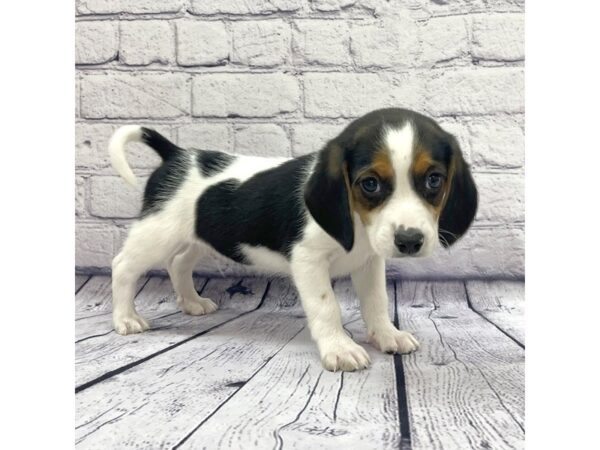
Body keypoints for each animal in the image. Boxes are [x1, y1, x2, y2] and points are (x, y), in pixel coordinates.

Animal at [109, 107, 478, 370]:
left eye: (434, 180)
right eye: (370, 184)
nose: (409, 241)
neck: (358, 224)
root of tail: (177, 155)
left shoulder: (369, 262)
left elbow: (377, 302)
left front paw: (387, 335)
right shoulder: (308, 261)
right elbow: (327, 306)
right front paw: (340, 348)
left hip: (197, 238)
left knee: (179, 264)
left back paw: (191, 302)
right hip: (156, 233)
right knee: (123, 266)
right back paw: (126, 318)